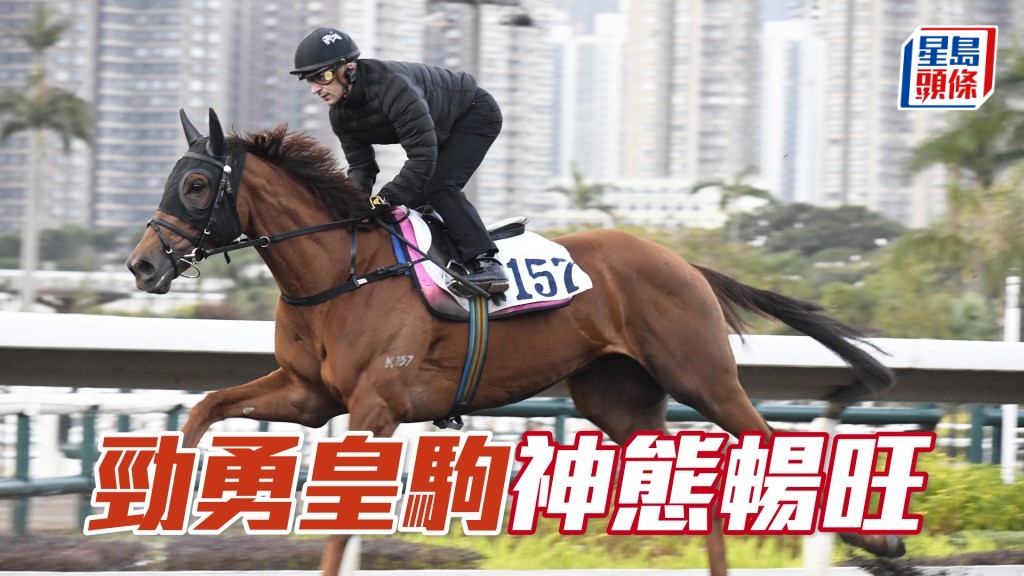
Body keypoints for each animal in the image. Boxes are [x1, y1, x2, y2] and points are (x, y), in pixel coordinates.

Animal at [127, 108, 904, 575]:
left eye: (195, 185)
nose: (142, 265)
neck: (340, 274)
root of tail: (684, 263)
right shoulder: (310, 394)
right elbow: (208, 406)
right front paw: (165, 500)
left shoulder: (376, 406)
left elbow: (342, 520)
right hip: (619, 401)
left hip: (702, 378)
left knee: (769, 445)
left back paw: (885, 540)